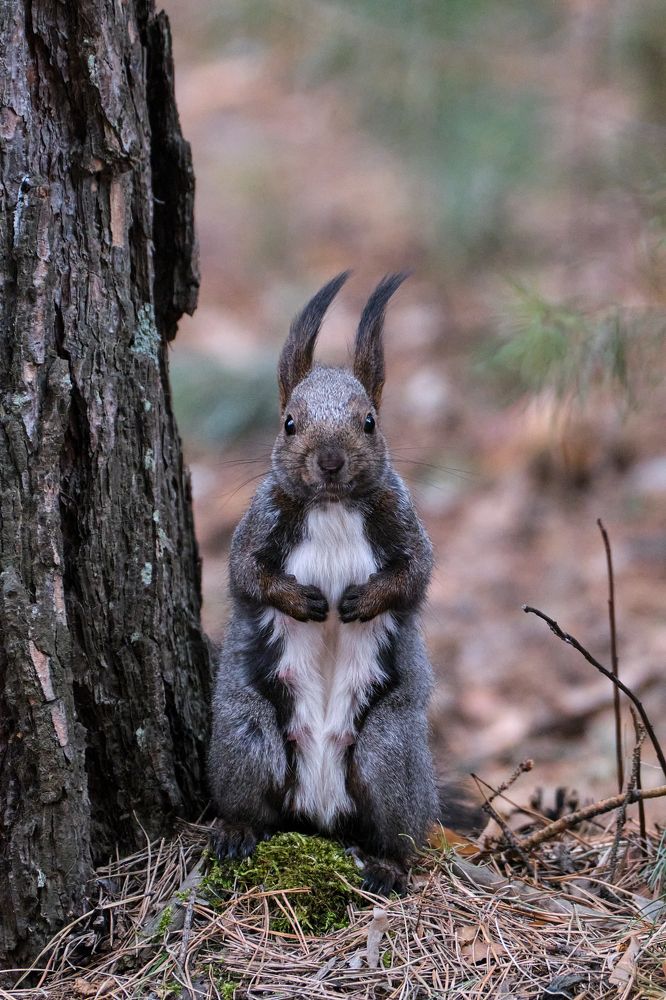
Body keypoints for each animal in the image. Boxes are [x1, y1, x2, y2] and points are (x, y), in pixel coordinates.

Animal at [208, 272, 439, 895]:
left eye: (370, 421)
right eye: (289, 421)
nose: (330, 461)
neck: (333, 505)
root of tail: (319, 807)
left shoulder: (405, 525)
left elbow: (414, 576)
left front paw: (362, 600)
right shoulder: (257, 526)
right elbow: (247, 576)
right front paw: (302, 600)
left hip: (388, 752)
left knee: (399, 833)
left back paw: (386, 865)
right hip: (248, 735)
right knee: (251, 797)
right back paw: (237, 831)